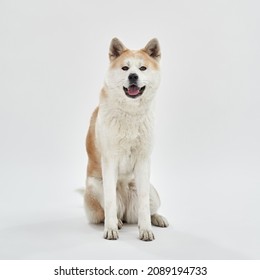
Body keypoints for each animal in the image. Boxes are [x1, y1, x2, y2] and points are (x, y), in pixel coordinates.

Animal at [84, 37, 169, 241]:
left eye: (143, 68)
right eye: (125, 68)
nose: (133, 76)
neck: (131, 114)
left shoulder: (143, 161)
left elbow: (144, 206)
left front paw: (146, 230)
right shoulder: (109, 160)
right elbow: (109, 202)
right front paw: (111, 229)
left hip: (153, 193)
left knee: (147, 209)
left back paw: (158, 219)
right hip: (94, 187)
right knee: (107, 211)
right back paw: (117, 222)